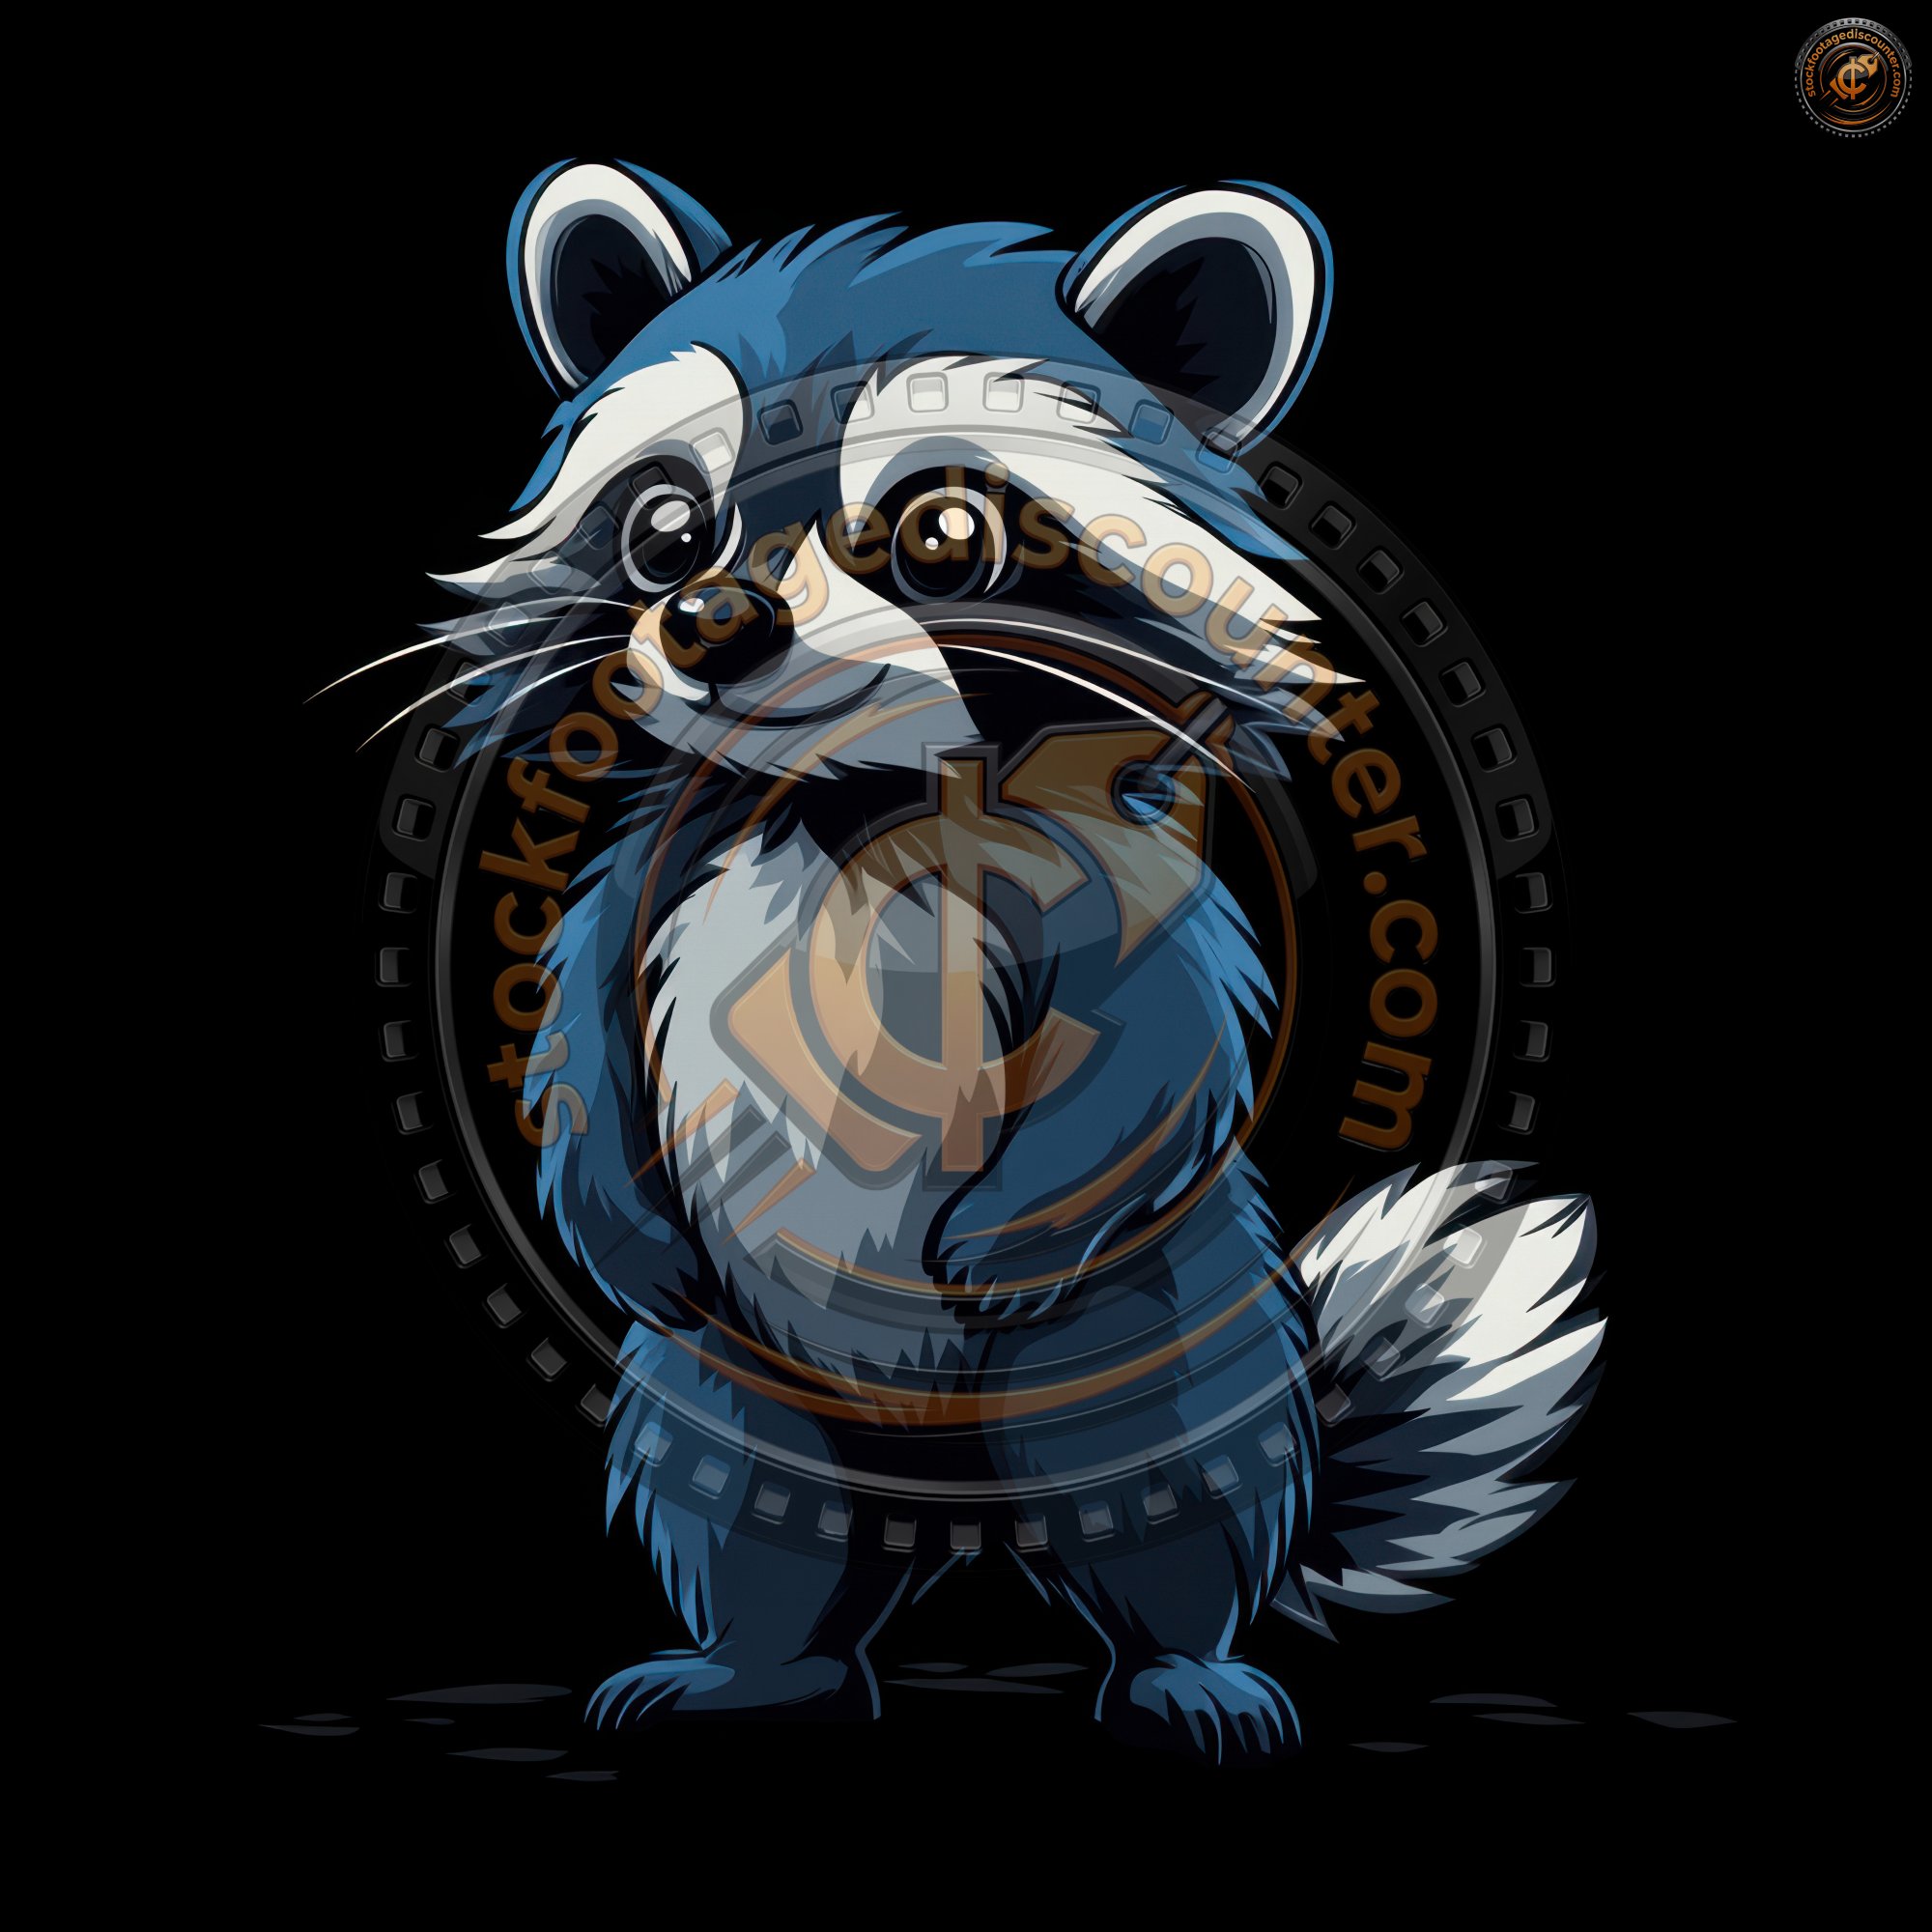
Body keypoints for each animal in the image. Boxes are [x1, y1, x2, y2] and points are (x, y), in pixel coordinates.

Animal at [430, 160, 1603, 1762]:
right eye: (666, 530)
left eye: (940, 535)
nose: (716, 619)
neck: (846, 798)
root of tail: (953, 1514)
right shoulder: (645, 880)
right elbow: (584, 1046)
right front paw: (617, 1218)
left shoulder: (1122, 888)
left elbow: (1160, 1049)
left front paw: (1015, 1227)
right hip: (745, 1376)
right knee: (751, 1501)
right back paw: (760, 1666)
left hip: (1150, 1336)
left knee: (1158, 1483)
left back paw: (1182, 1665)